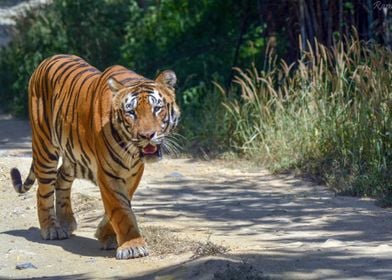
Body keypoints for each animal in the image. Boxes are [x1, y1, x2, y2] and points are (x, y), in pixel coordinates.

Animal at [9, 54, 181, 260]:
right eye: (131, 112)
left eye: (157, 109)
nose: (146, 135)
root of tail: (47, 59)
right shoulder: (108, 172)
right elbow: (119, 208)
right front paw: (132, 246)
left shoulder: (133, 172)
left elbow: (121, 203)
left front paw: (105, 235)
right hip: (45, 146)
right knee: (43, 190)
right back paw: (51, 228)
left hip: (74, 157)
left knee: (61, 178)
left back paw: (66, 222)